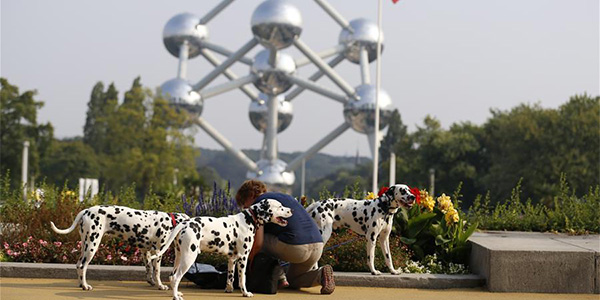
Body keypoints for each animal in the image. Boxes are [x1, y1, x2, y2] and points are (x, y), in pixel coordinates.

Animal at [50, 206, 189, 290]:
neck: (170, 221)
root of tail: (86, 211)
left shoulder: (145, 252)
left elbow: (149, 269)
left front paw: (151, 281)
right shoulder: (158, 252)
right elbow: (157, 271)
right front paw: (161, 286)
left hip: (85, 245)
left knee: (78, 265)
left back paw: (81, 284)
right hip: (92, 246)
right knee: (82, 266)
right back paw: (85, 285)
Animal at [152, 198, 292, 298]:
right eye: (280, 207)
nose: (291, 210)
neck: (248, 219)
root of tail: (185, 223)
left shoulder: (232, 258)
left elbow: (230, 276)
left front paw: (229, 289)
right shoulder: (243, 257)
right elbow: (242, 278)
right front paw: (245, 293)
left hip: (179, 256)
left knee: (172, 276)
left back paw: (176, 293)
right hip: (189, 257)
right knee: (176, 277)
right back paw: (176, 297)